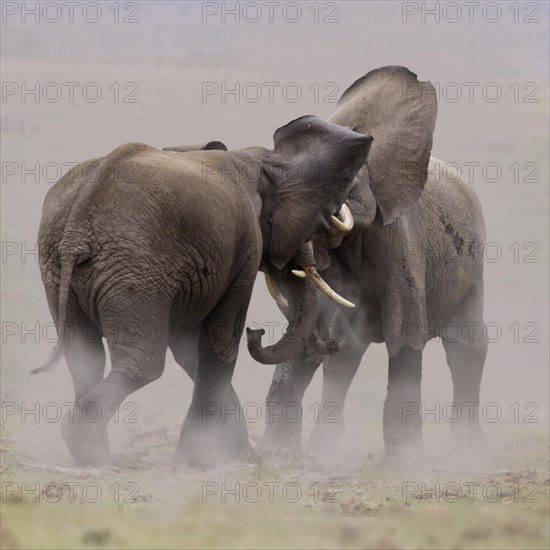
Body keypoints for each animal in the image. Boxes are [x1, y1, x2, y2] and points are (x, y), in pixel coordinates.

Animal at [34, 114, 376, 468]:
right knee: (143, 364)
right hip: (134, 269)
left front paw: (242, 458)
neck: (262, 159)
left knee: (83, 357)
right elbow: (220, 344)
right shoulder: (245, 246)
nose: (257, 333)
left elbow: (190, 350)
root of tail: (79, 218)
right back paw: (91, 448)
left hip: (60, 269)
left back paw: (95, 456)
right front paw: (194, 460)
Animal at [260, 67, 490, 468]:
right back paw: (322, 449)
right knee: (345, 361)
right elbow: (308, 332)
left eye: (343, 182)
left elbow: (405, 332)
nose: (253, 334)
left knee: (467, 347)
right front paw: (278, 457)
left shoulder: (398, 238)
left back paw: (471, 456)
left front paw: (406, 461)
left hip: (474, 268)